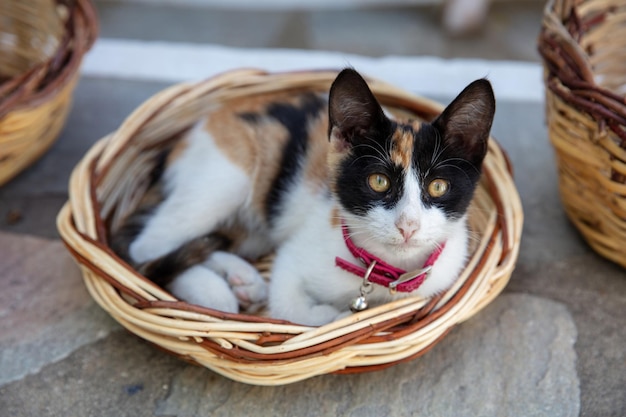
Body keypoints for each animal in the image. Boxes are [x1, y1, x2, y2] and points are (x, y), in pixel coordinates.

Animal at [111, 68, 492, 326]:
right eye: (379, 181)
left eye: (438, 187)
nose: (408, 226)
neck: (384, 272)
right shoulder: (292, 258)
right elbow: (290, 307)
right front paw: (328, 316)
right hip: (223, 178)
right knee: (146, 248)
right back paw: (213, 291)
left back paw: (240, 276)